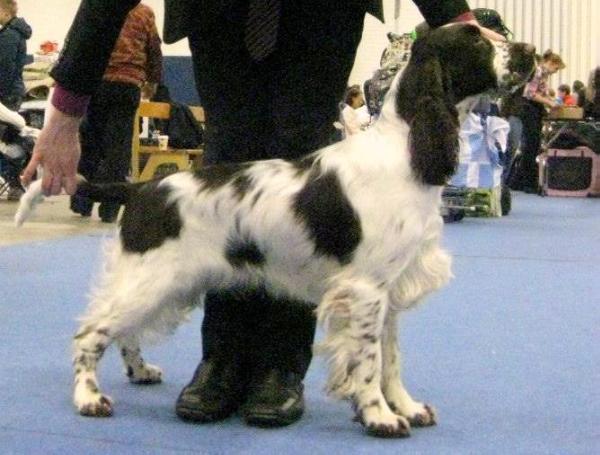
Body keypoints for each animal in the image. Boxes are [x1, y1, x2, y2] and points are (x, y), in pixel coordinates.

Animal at [17, 25, 536, 438]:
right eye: (477, 41)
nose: (530, 50)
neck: (405, 150)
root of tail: (140, 187)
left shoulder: (389, 289)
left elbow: (391, 359)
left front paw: (406, 407)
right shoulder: (365, 290)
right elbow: (369, 363)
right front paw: (380, 418)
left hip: (167, 284)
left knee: (125, 332)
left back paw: (141, 371)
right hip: (151, 278)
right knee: (90, 335)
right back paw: (88, 398)